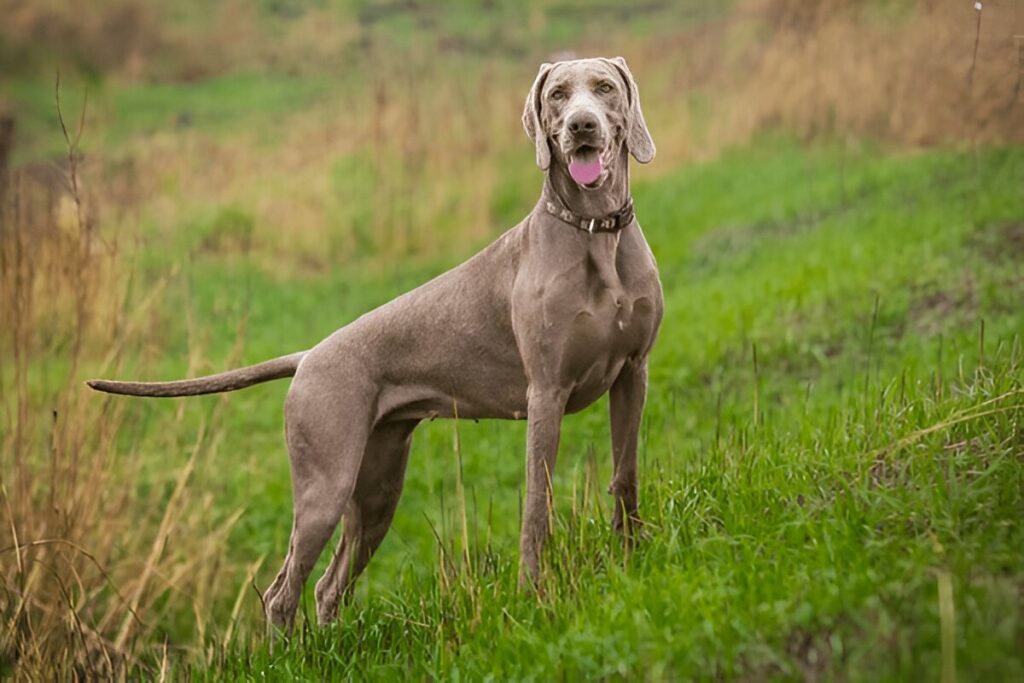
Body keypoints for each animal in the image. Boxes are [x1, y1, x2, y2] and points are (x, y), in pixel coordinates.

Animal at [90, 58, 663, 630]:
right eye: (558, 95)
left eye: (604, 88)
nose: (582, 126)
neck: (596, 231)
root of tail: (308, 357)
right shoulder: (546, 393)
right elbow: (537, 507)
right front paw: (534, 598)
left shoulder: (634, 371)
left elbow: (626, 472)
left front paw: (633, 558)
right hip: (326, 484)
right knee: (282, 591)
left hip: (378, 489)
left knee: (328, 585)